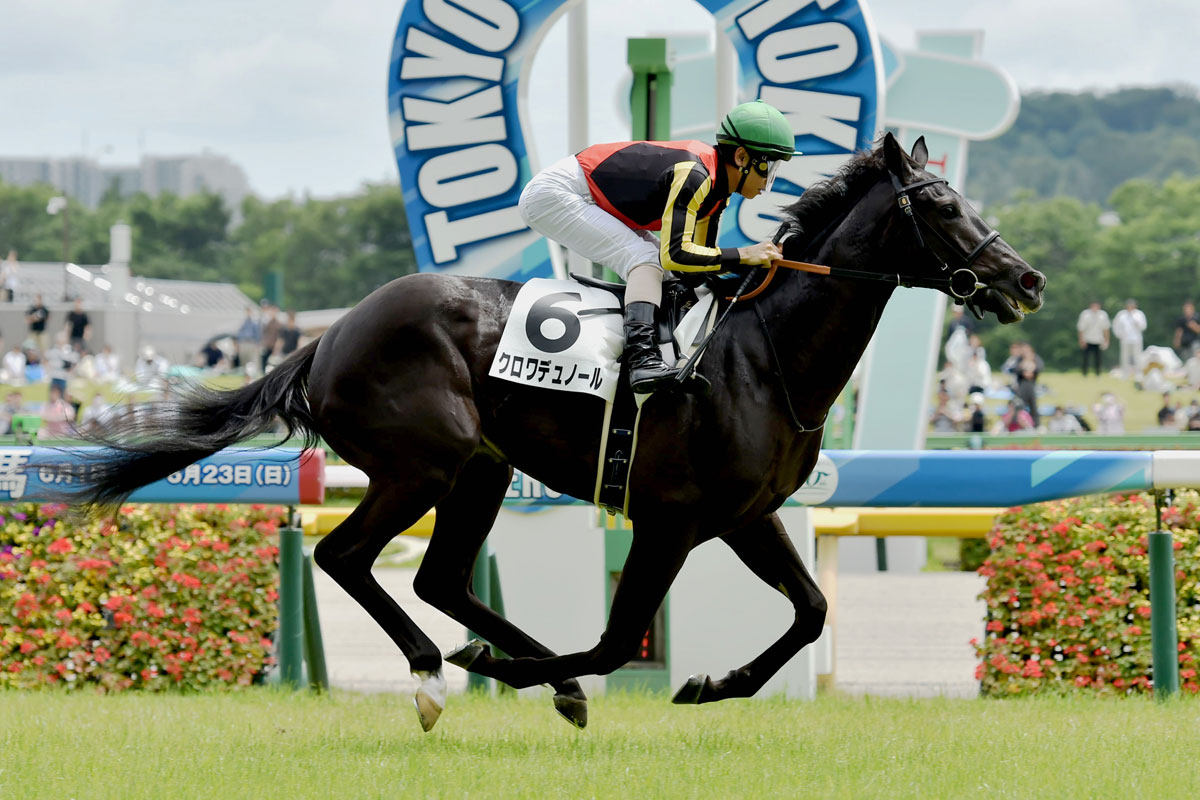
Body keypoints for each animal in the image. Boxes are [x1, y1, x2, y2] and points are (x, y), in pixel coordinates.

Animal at [65, 133, 1044, 731]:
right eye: (942, 206)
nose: (1026, 280)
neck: (761, 354)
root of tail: (327, 336)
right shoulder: (671, 520)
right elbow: (619, 638)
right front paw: (524, 674)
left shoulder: (746, 514)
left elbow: (809, 612)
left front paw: (712, 684)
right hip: (423, 465)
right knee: (347, 556)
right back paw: (438, 675)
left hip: (481, 470)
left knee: (439, 575)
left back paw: (526, 669)